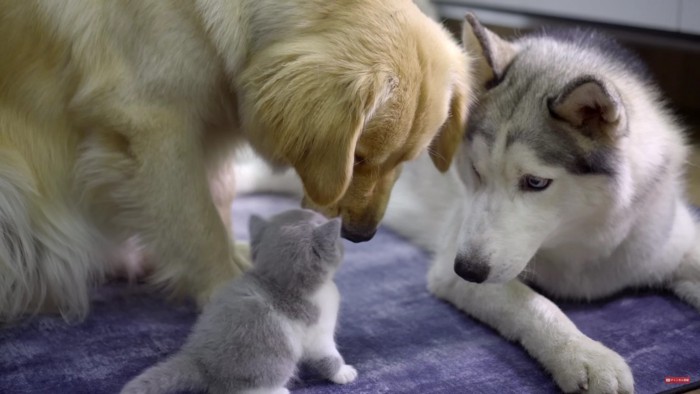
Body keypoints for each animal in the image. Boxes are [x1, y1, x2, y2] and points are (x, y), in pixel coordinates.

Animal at [121, 208, 358, 392]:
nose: (345, 235)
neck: (280, 284)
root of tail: (198, 359)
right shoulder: (318, 333)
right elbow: (327, 356)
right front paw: (343, 372)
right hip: (275, 361)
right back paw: (278, 390)